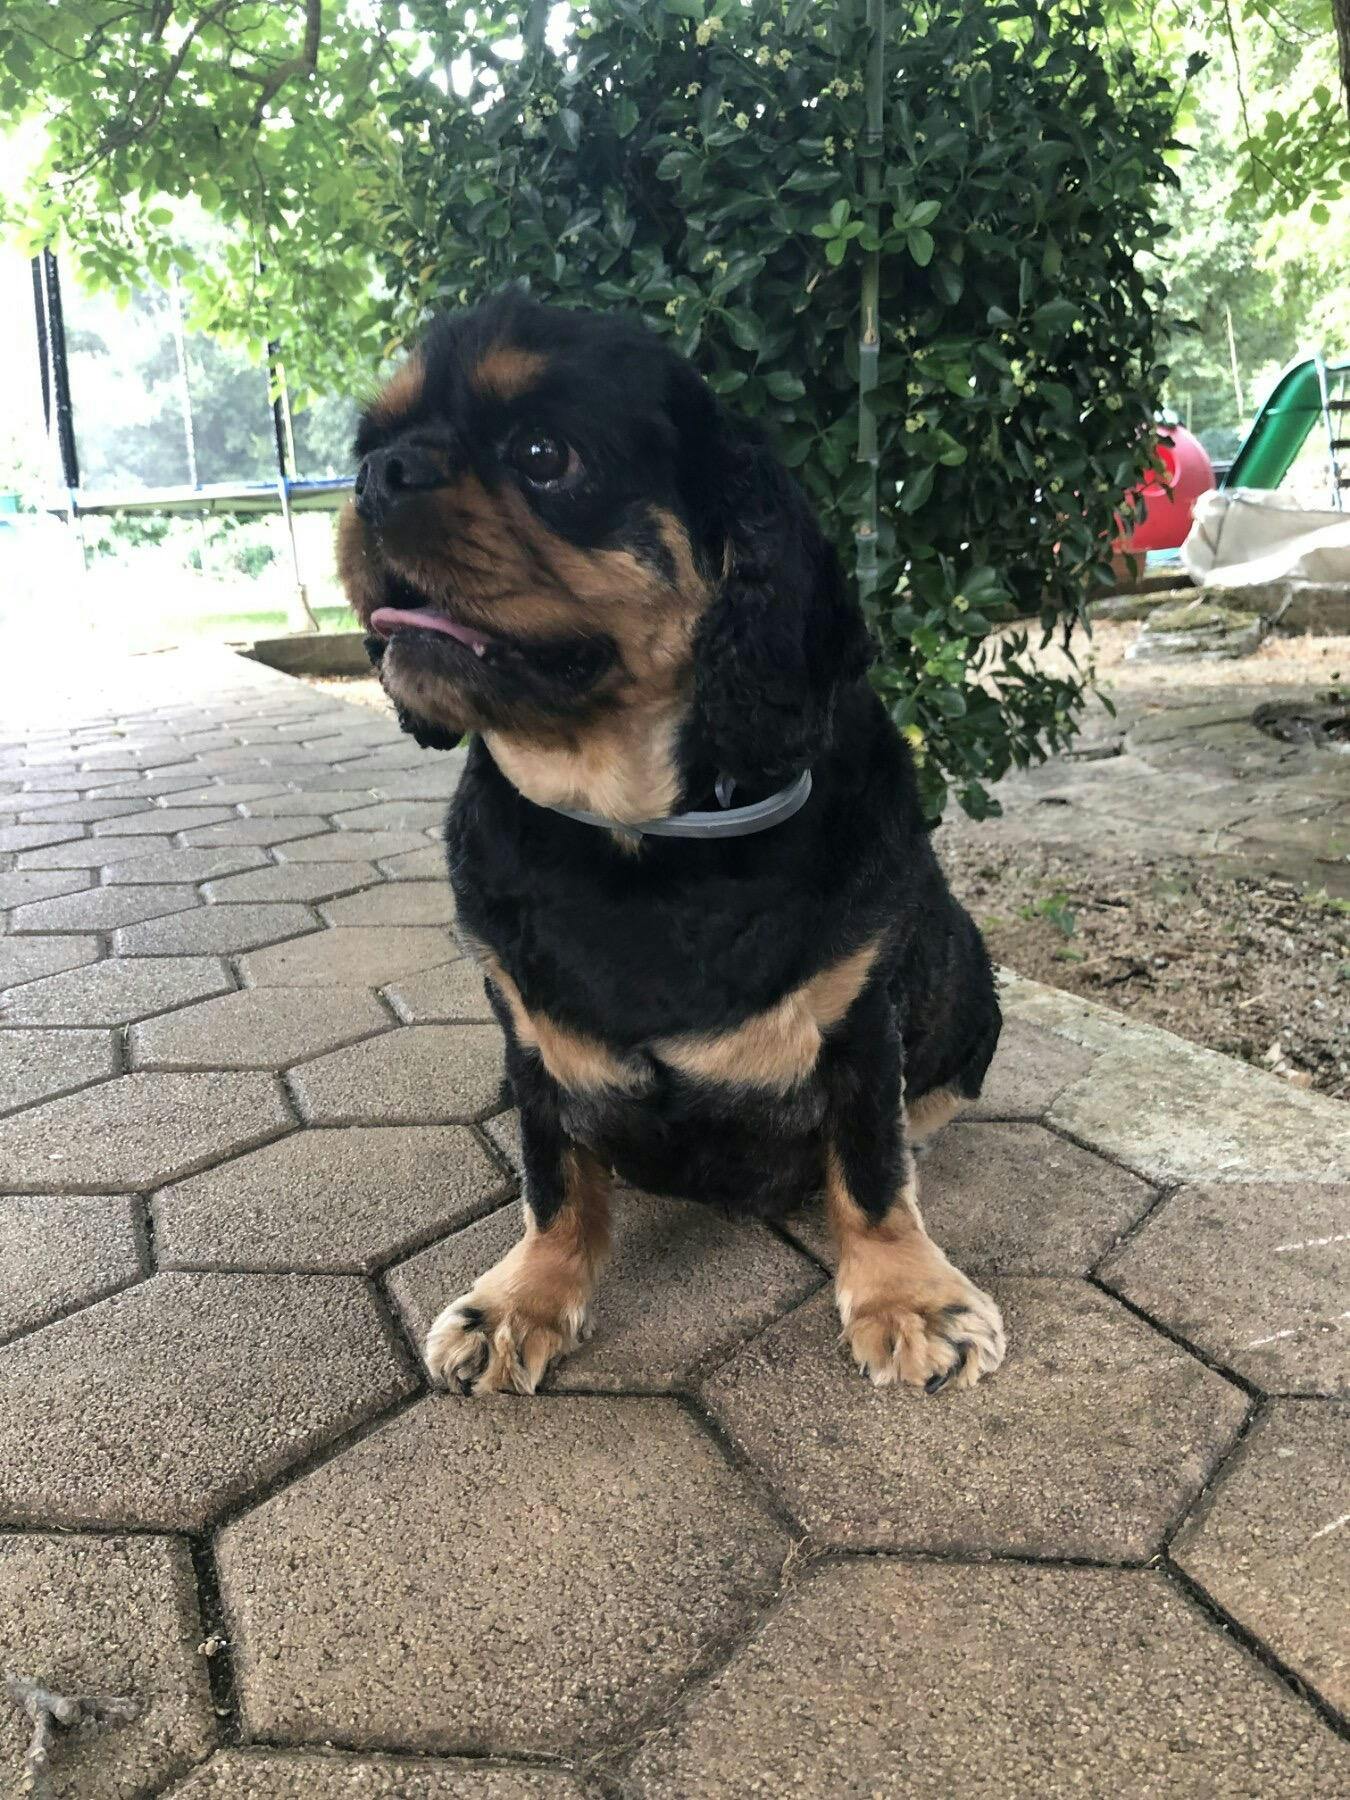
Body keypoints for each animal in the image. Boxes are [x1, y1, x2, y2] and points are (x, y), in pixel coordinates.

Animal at [339, 292, 1006, 1398]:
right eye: (368, 444)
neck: (639, 834)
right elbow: (556, 1179)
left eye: (543, 452)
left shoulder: (861, 1023)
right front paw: (523, 1297)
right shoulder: (532, 1044)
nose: (379, 475)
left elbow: (872, 1169)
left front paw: (908, 1295)